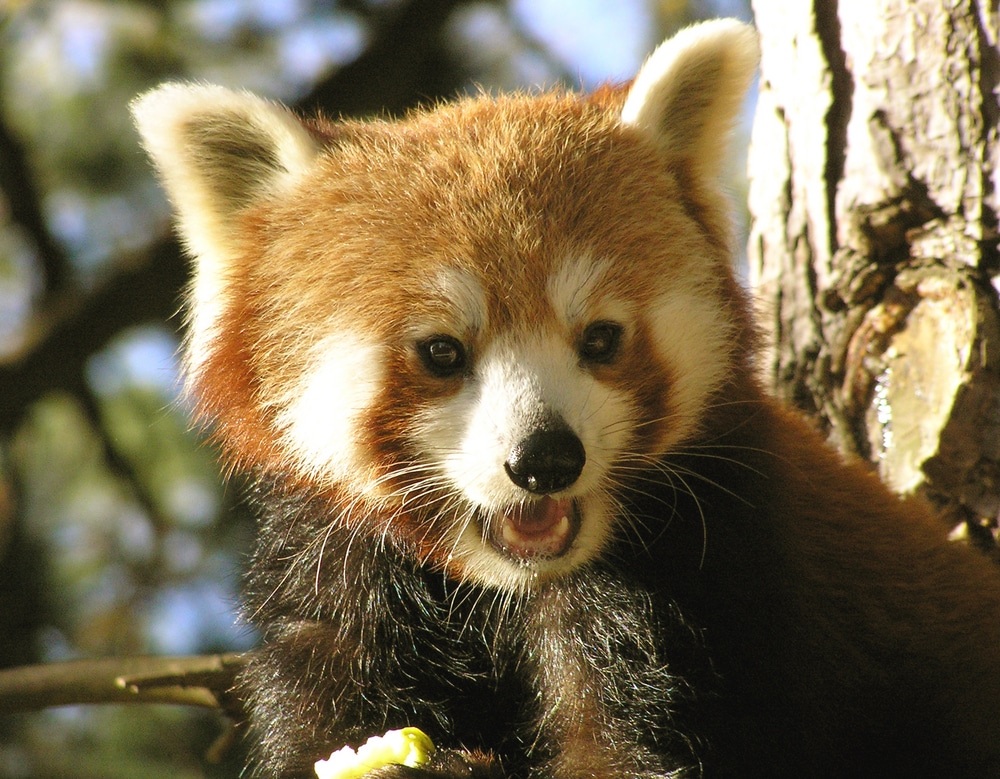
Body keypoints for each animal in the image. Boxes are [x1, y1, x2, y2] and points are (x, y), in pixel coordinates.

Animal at [129, 18, 1000, 779]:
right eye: (442, 351)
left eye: (602, 339)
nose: (546, 458)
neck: (498, 594)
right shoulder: (337, 585)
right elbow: (323, 720)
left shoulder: (715, 576)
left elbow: (625, 748)